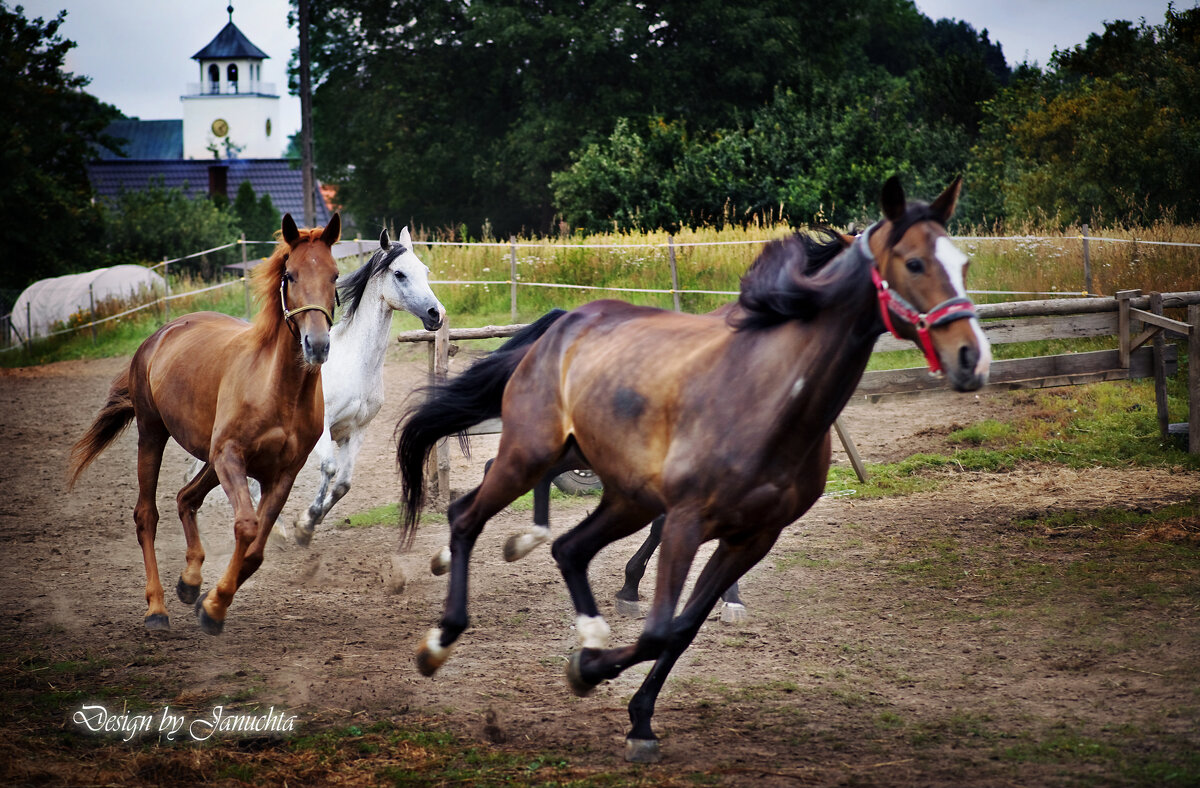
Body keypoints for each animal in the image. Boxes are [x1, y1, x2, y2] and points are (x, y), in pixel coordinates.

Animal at [69, 212, 343, 638]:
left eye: (334, 275)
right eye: (291, 275)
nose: (316, 344)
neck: (276, 387)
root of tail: (162, 333)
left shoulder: (282, 474)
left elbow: (256, 551)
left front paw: (209, 602)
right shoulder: (230, 456)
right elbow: (246, 527)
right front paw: (212, 608)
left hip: (210, 460)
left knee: (186, 498)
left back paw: (190, 582)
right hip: (154, 434)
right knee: (146, 516)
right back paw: (157, 609)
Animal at [290, 227, 446, 544]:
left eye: (425, 270)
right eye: (399, 274)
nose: (437, 313)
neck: (355, 363)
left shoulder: (357, 430)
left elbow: (343, 484)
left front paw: (308, 523)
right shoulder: (322, 427)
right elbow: (329, 468)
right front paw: (304, 525)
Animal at [398, 175, 988, 758]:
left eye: (964, 263)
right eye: (914, 263)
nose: (971, 357)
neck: (768, 396)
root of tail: (565, 323)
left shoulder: (753, 536)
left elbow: (681, 628)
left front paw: (634, 713)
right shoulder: (687, 519)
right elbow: (660, 627)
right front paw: (593, 664)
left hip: (619, 490)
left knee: (565, 545)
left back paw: (579, 618)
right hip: (533, 453)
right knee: (468, 514)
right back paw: (440, 640)